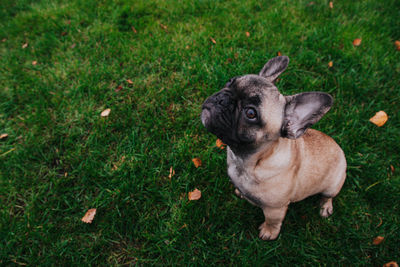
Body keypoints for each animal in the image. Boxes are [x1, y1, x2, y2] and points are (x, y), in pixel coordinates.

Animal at [202, 56, 346, 241]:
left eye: (250, 113)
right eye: (230, 82)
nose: (223, 99)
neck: (247, 160)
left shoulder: (275, 209)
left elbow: (272, 221)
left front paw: (269, 232)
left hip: (333, 185)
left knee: (328, 197)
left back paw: (325, 207)